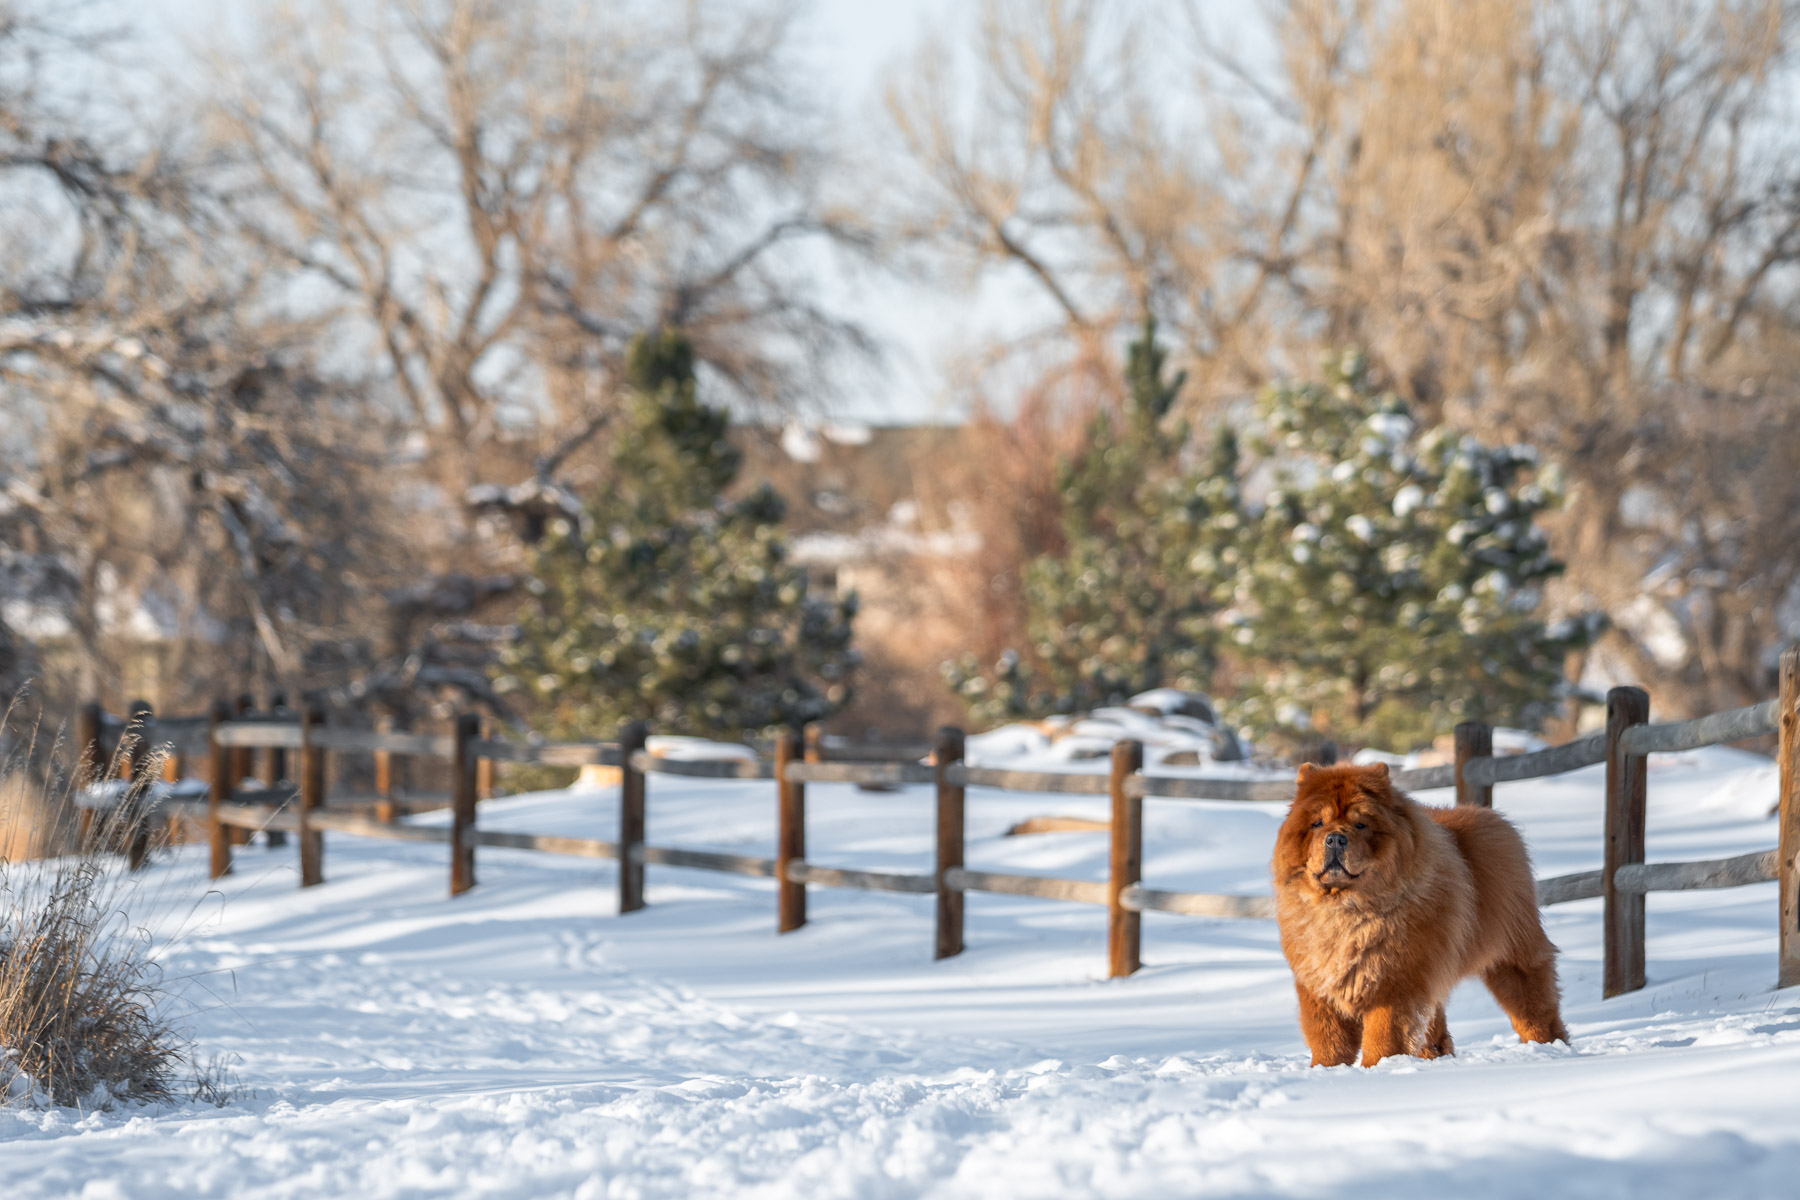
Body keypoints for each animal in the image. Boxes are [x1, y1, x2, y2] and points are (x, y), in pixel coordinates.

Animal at [1274, 766, 1569, 1065]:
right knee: (1435, 1028)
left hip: (1513, 957)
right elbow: (1329, 1039)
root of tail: (1492, 817)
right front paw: (1326, 1069)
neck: (1346, 910)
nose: (1335, 838)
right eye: (1317, 824)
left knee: (1534, 1010)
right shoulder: (1319, 985)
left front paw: (1376, 1067)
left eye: (1361, 825)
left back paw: (1550, 1048)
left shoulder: (1395, 983)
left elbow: (1383, 1036)